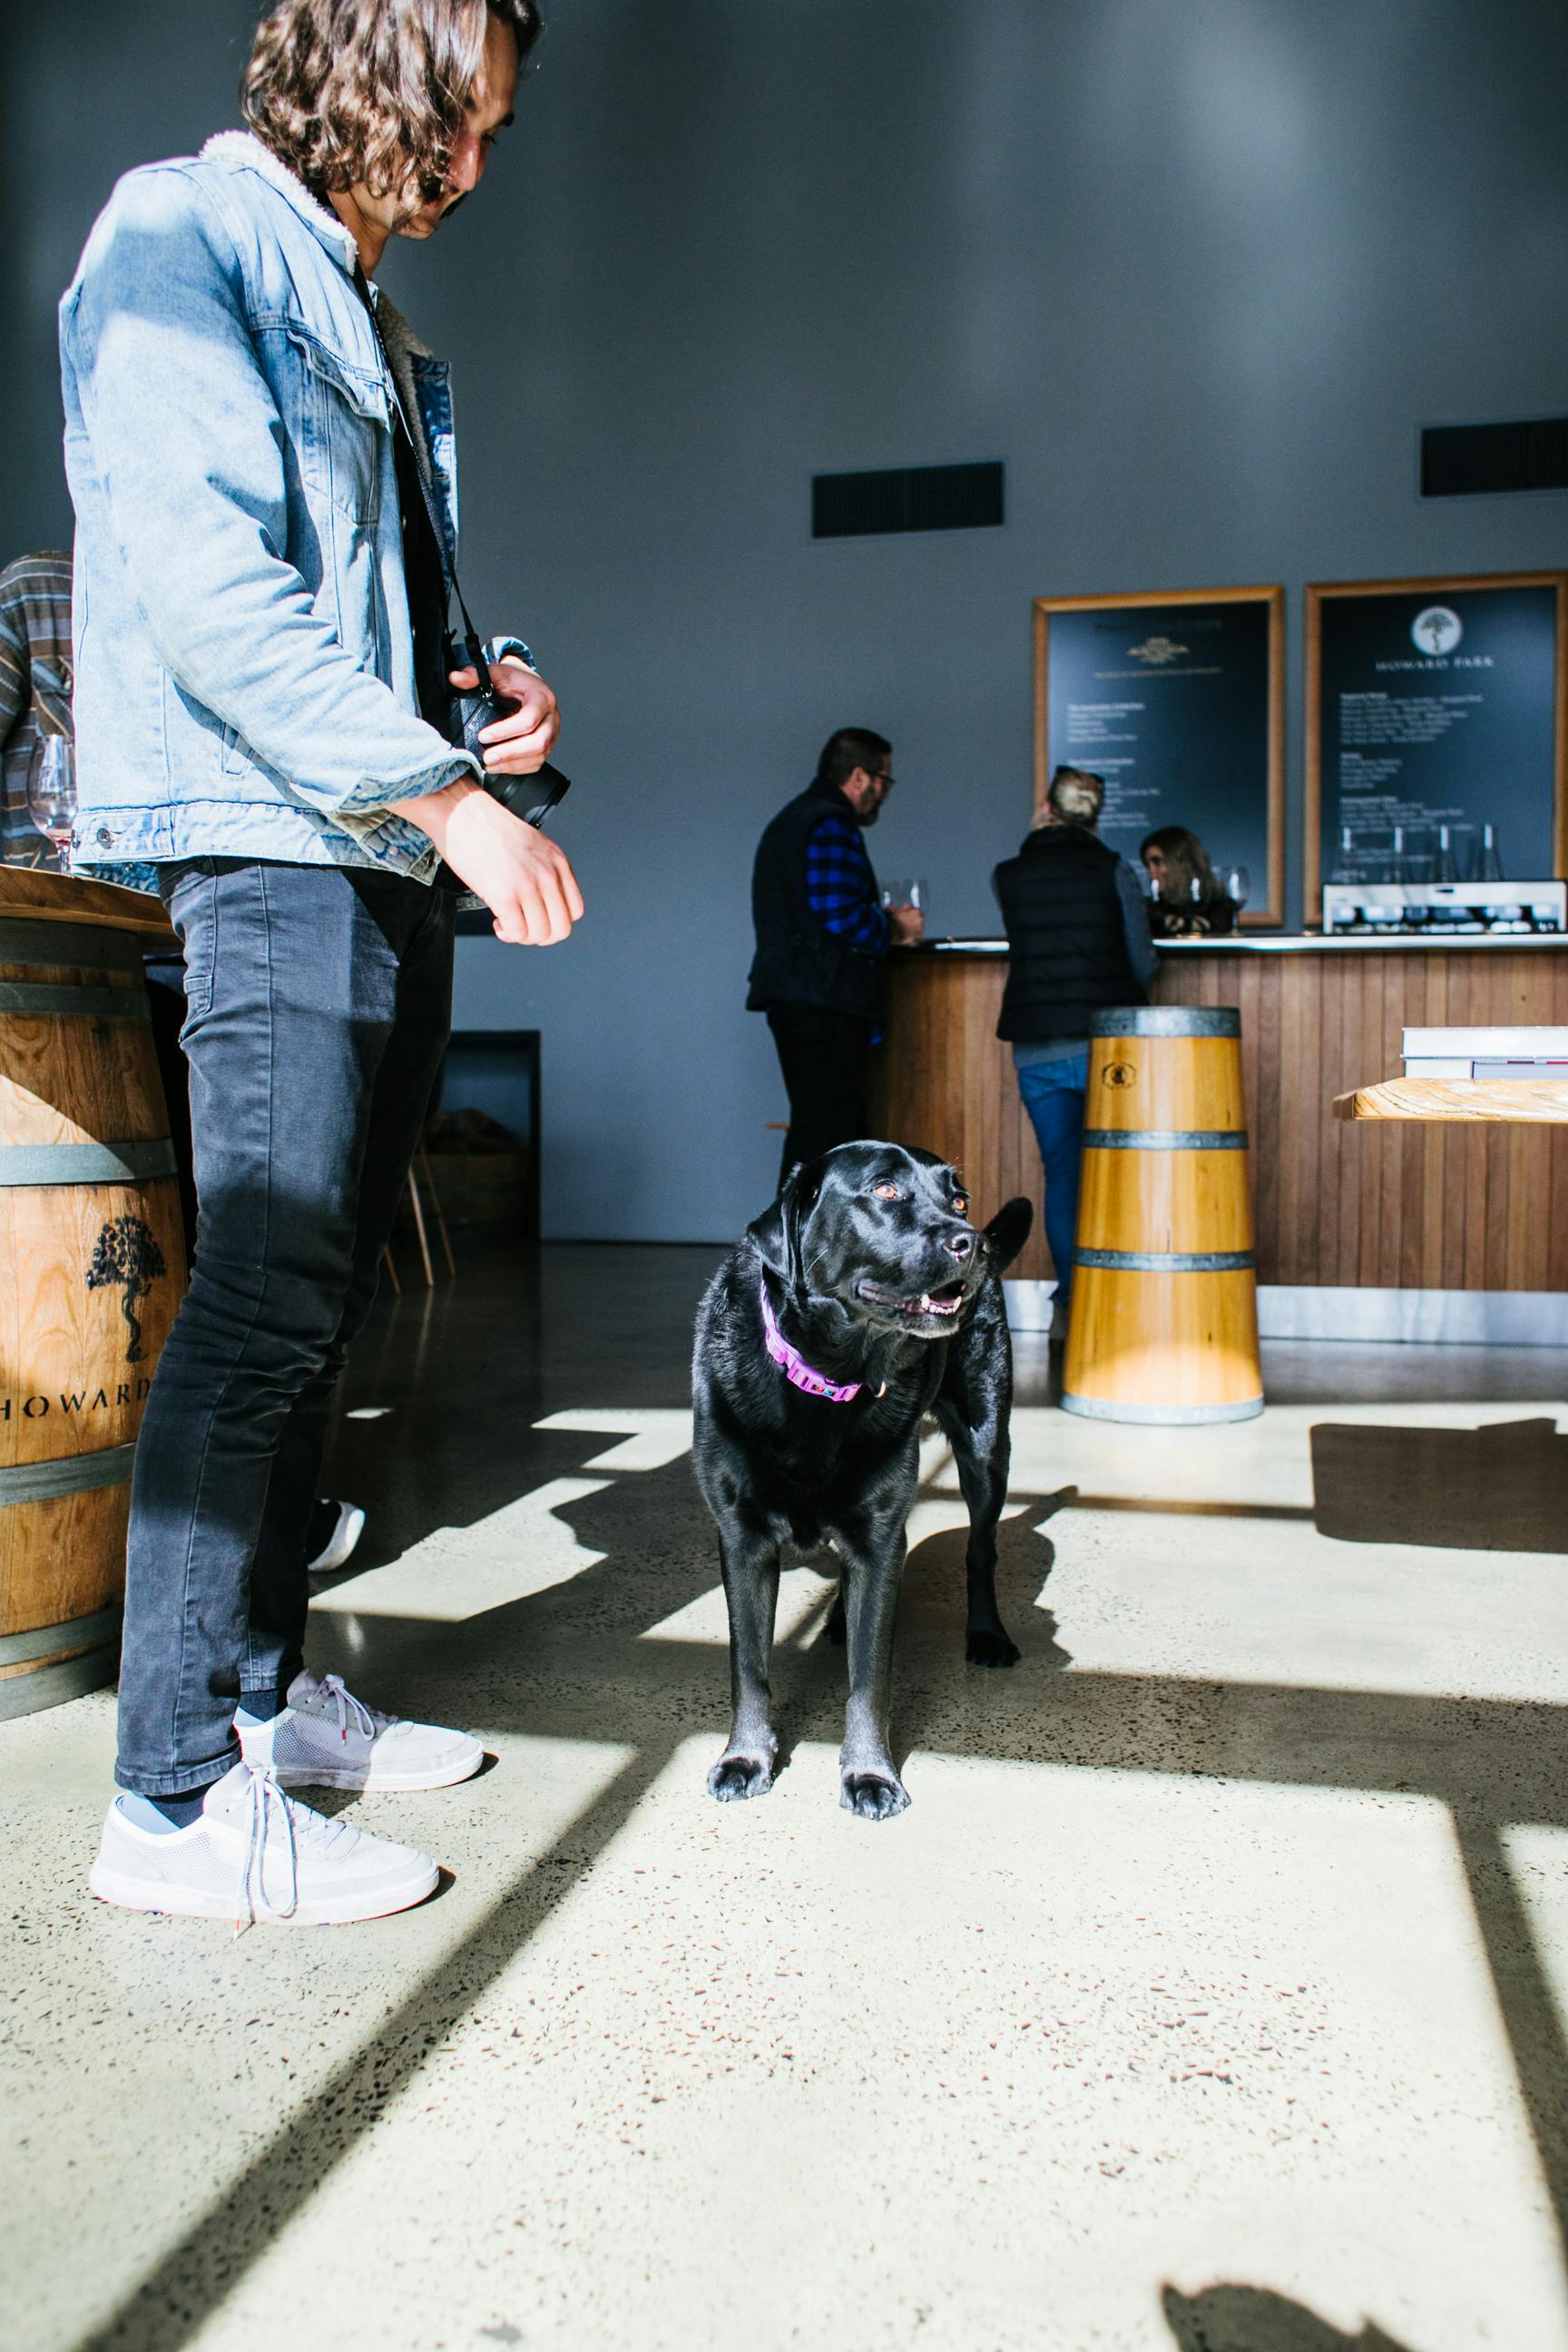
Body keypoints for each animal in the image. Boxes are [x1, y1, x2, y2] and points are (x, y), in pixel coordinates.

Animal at [691, 1138, 1034, 1816]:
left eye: (958, 1198)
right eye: (885, 1191)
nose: (974, 1243)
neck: (828, 1377)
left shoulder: (880, 1542)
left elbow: (869, 1678)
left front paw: (871, 1773)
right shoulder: (742, 1541)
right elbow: (750, 1667)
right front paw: (745, 1757)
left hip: (987, 1445)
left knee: (981, 1549)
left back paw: (986, 1634)